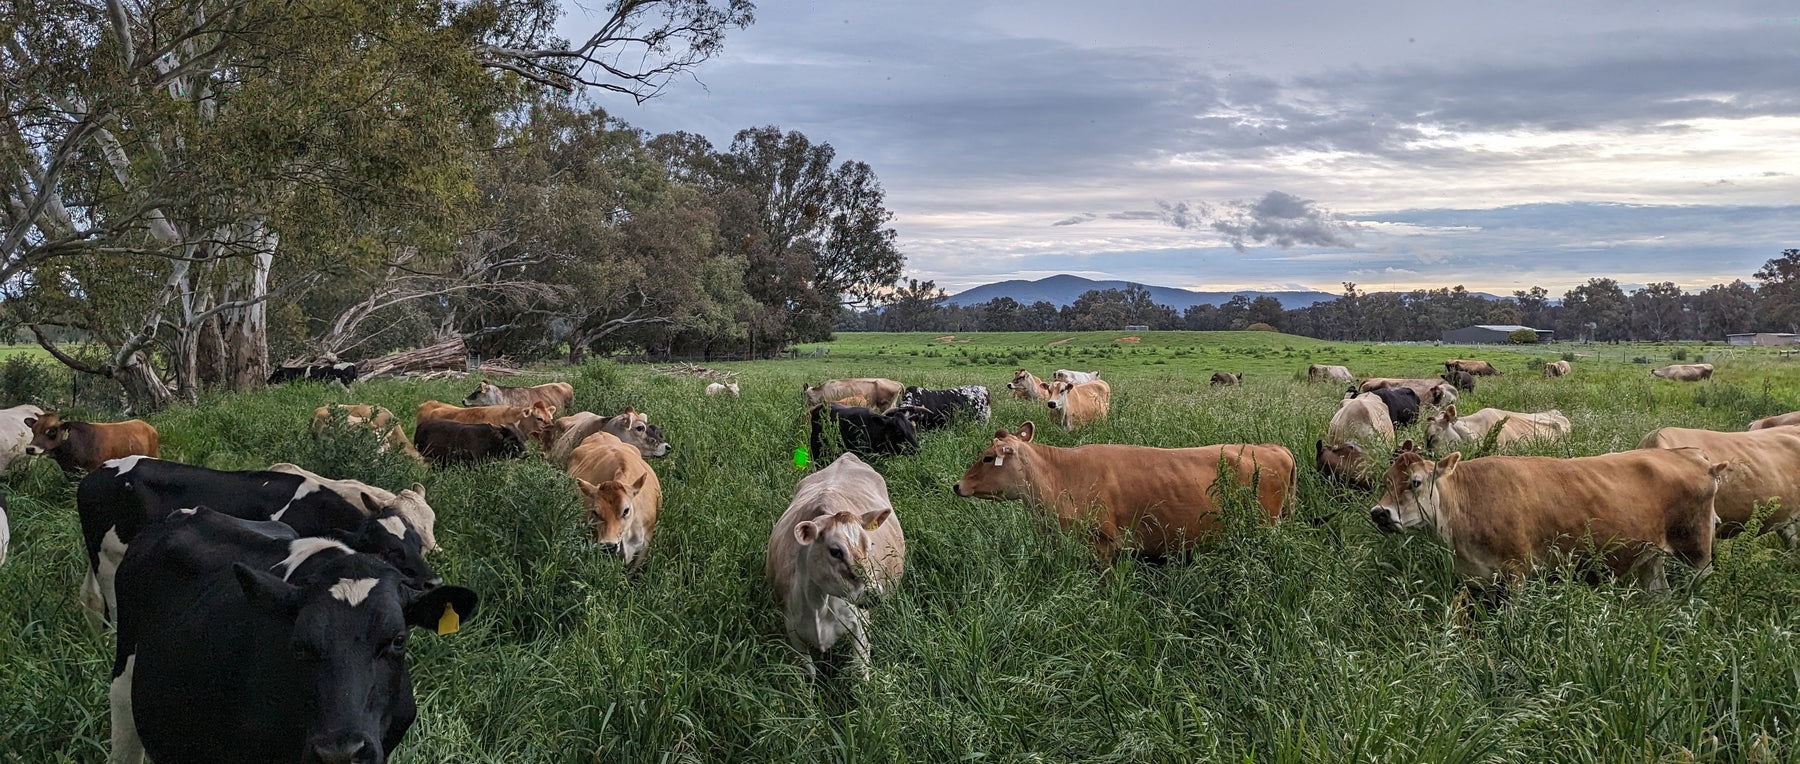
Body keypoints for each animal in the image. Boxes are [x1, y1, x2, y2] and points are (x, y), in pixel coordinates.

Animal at [767, 452, 904, 679]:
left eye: (869, 545)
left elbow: (860, 671)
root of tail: (845, 457)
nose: (874, 594)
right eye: (836, 551)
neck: (817, 606)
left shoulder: (860, 624)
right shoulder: (792, 630)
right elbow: (810, 675)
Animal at [1369, 442, 1723, 592]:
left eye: (1415, 482)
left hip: (1697, 553)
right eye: (1385, 481)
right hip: (1651, 556)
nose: (1380, 513)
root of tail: (1695, 456)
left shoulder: (1517, 571)